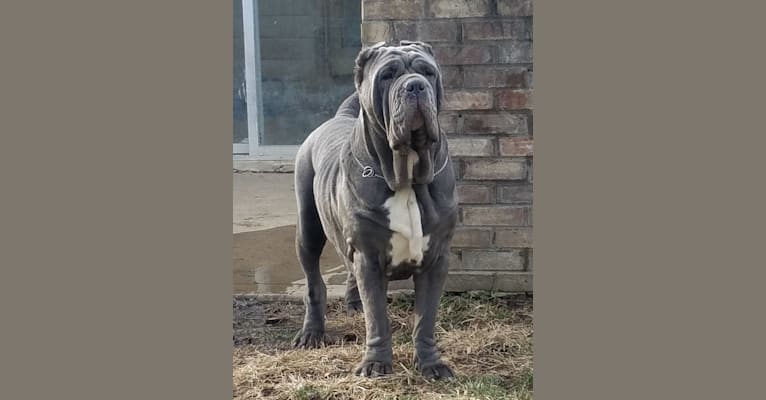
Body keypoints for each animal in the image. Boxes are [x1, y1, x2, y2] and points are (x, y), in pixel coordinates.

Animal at [290, 40, 456, 378]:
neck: (406, 178)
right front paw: (376, 363)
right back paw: (312, 333)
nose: (415, 86)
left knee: (348, 268)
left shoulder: (436, 259)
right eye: (387, 75)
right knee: (314, 283)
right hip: (308, 230)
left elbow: (425, 319)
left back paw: (353, 304)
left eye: (428, 72)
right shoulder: (370, 257)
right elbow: (377, 317)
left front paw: (431, 364)